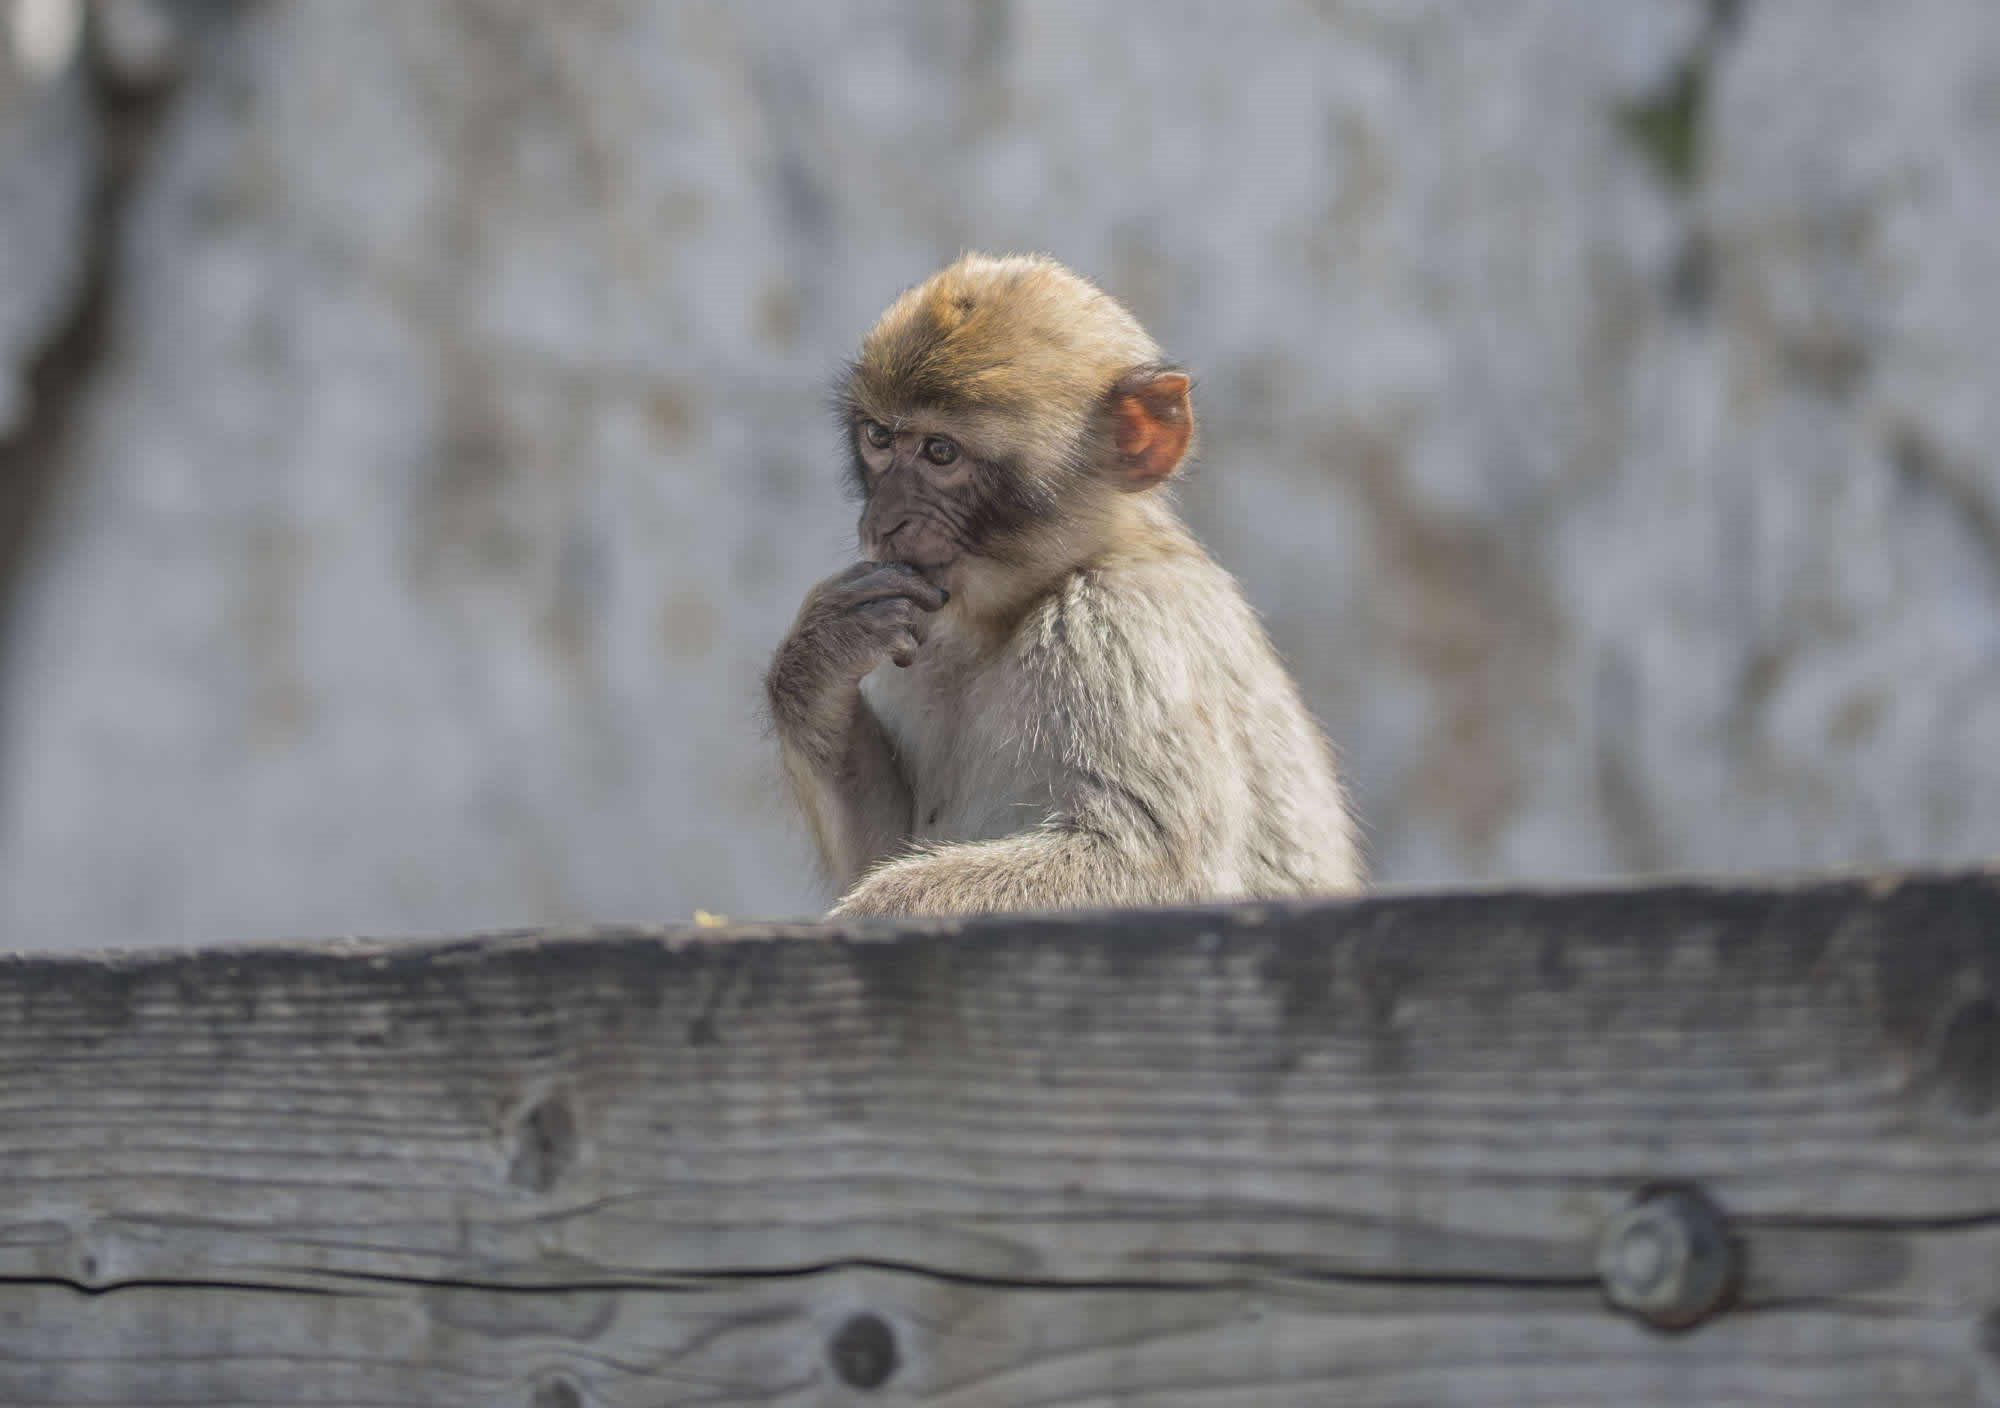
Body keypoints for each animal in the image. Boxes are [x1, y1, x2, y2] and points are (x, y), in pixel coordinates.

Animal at [764, 253, 1360, 920]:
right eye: (880, 439)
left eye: (940, 452)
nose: (881, 522)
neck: (1016, 610)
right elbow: (889, 843)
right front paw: (819, 657)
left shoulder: (1115, 628)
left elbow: (1155, 864)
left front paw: (876, 911)